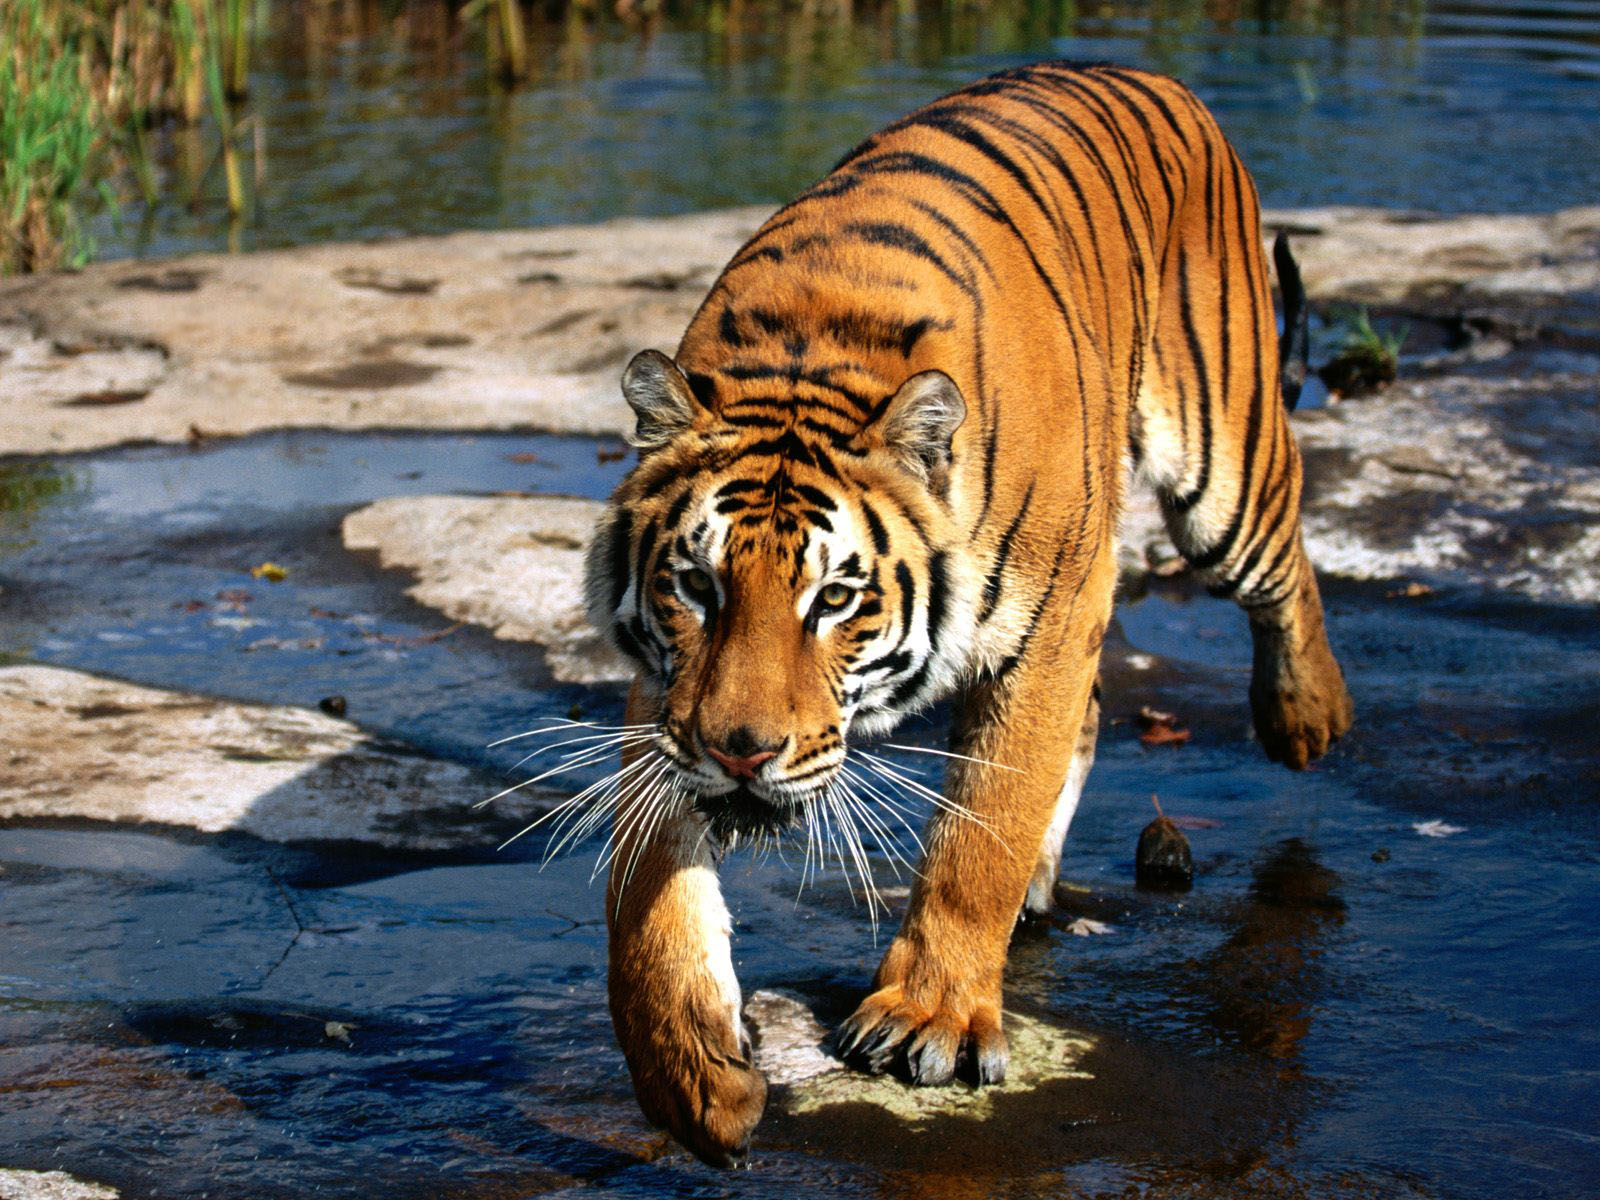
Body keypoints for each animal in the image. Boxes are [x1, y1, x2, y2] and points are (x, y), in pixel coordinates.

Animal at [579, 61, 1350, 1171]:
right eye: (697, 586)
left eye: (835, 598)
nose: (740, 753)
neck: (812, 359)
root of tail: (1153, 74)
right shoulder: (670, 694)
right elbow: (644, 894)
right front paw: (690, 1076)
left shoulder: (1055, 617)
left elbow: (983, 828)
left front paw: (930, 1018)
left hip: (1222, 462)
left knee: (1285, 562)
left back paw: (1306, 715)